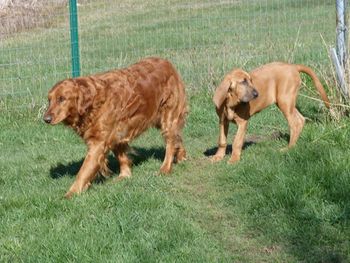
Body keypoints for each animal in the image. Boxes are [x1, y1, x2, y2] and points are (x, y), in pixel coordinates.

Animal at [43, 57, 187, 198]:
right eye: (49, 100)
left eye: (62, 99)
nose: (46, 119)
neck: (94, 102)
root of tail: (167, 62)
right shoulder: (117, 133)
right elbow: (121, 157)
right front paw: (125, 175)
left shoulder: (98, 143)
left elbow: (83, 171)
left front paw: (71, 193)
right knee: (177, 137)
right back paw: (181, 156)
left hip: (168, 117)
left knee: (170, 143)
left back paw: (165, 168)